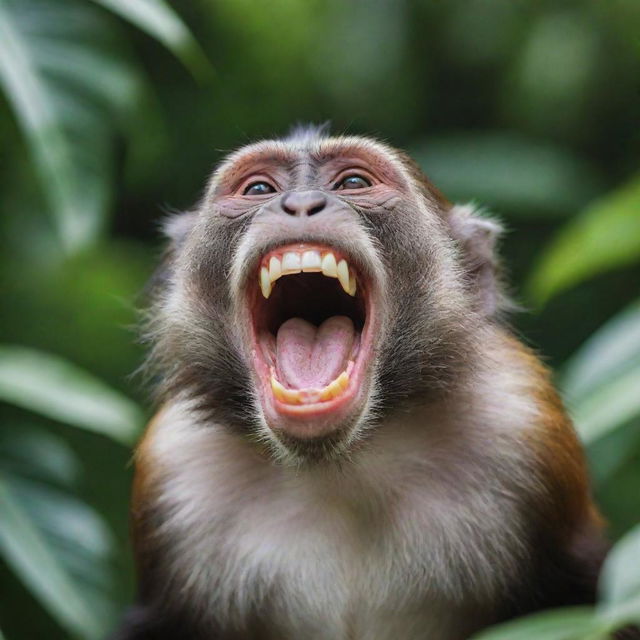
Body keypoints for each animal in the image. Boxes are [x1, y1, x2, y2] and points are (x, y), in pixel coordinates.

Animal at [116, 126, 616, 640]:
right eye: (258, 189)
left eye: (353, 182)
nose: (300, 203)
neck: (341, 464)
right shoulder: (175, 468)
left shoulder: (522, 422)